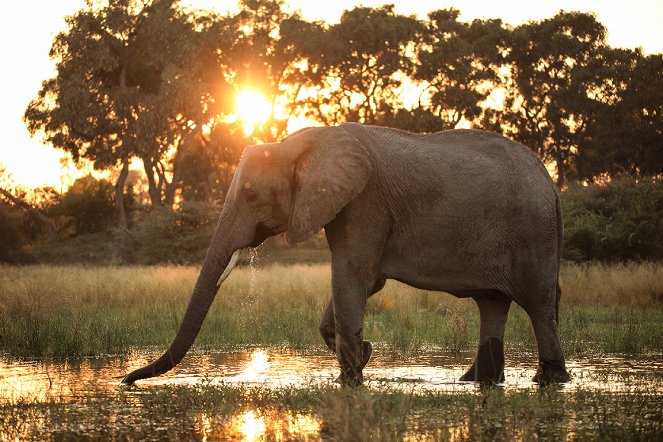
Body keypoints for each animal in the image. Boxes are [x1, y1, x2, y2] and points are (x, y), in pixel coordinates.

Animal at [122, 122, 572, 386]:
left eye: (250, 196)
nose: (126, 381)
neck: (300, 144)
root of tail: (552, 186)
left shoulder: (364, 201)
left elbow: (353, 276)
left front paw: (353, 377)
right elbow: (364, 282)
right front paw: (363, 355)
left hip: (533, 233)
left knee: (538, 304)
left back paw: (550, 381)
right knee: (492, 304)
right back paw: (476, 380)